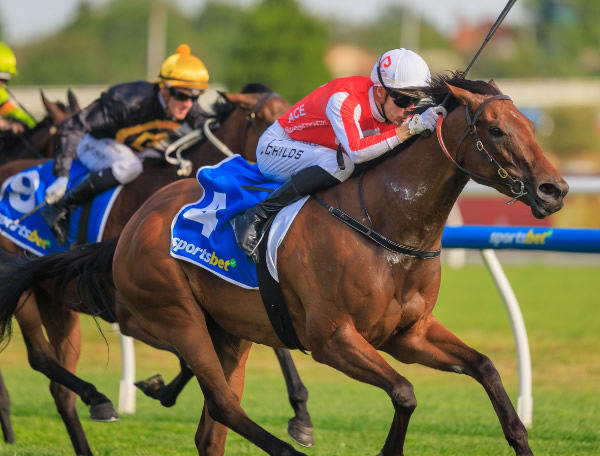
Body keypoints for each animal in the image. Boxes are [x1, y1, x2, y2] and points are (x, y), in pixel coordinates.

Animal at [2, 75, 568, 456]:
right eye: (495, 129)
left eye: (527, 123)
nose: (554, 189)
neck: (387, 224)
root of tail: (138, 222)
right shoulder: (331, 339)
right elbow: (405, 393)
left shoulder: (409, 334)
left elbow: (486, 366)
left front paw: (521, 438)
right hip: (173, 316)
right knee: (218, 404)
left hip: (224, 329)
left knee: (209, 426)